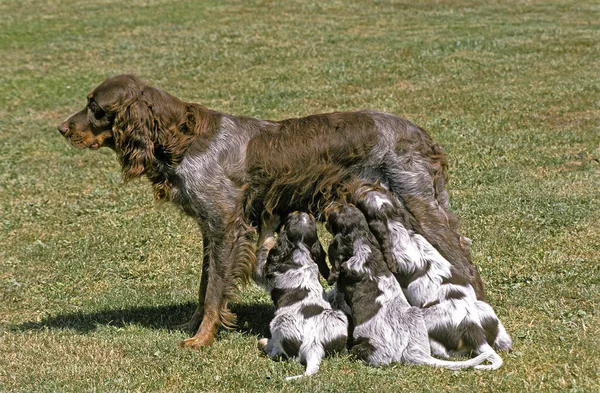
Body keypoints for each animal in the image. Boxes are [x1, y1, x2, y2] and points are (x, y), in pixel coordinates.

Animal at [57, 73, 482, 346]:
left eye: (95, 107)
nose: (61, 128)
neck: (183, 140)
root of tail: (422, 134)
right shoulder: (211, 228)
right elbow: (204, 284)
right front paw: (193, 326)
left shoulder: (227, 226)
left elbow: (214, 290)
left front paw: (202, 338)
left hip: (417, 204)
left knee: (461, 254)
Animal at [253, 211, 346, 380]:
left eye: (290, 217)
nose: (301, 211)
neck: (301, 250)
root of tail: (313, 347)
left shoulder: (262, 273)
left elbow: (263, 247)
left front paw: (270, 221)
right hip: (339, 317)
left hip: (279, 321)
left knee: (280, 354)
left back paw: (265, 343)